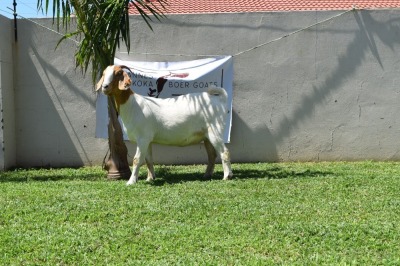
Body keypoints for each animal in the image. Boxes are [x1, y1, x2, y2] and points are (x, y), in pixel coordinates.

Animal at [97, 65, 233, 185]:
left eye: (118, 73)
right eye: (104, 73)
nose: (105, 87)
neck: (133, 105)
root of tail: (218, 99)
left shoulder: (142, 138)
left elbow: (137, 159)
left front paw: (131, 182)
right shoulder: (148, 140)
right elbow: (148, 159)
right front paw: (150, 178)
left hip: (215, 131)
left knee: (225, 152)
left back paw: (227, 176)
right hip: (206, 135)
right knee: (212, 155)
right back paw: (207, 175)